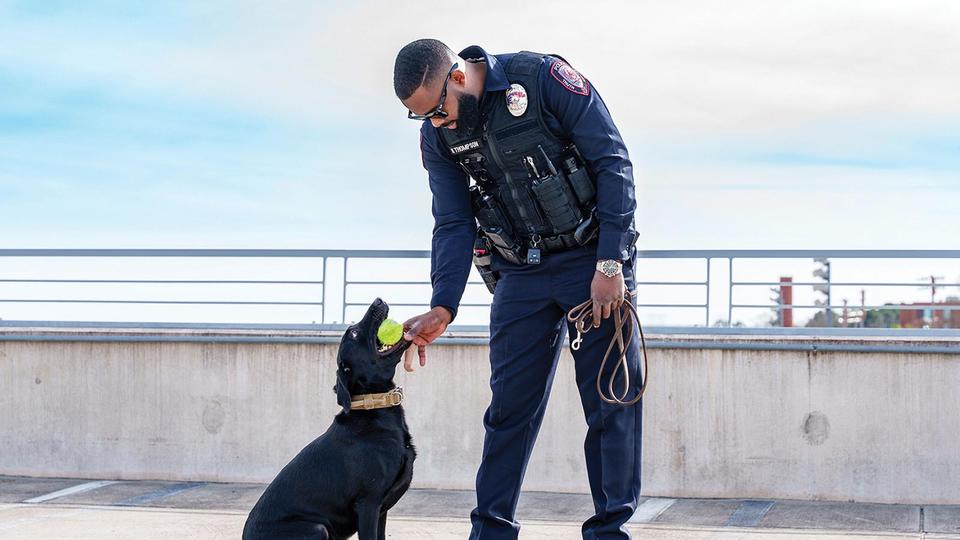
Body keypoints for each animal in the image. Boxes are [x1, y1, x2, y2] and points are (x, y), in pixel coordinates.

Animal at [242, 298, 414, 536]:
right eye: (353, 333)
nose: (377, 300)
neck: (374, 404)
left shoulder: (381, 511)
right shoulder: (368, 503)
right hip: (317, 527)